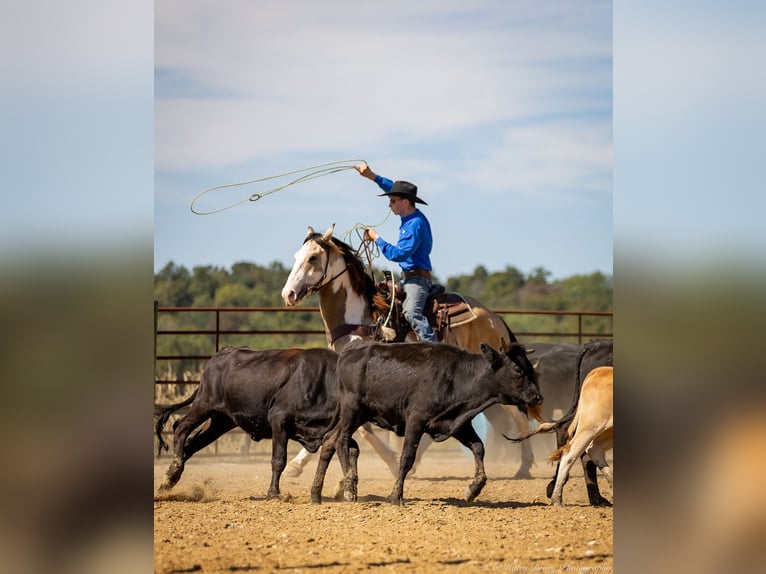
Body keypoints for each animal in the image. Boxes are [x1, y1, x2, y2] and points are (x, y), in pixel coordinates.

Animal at [154, 346, 338, 500]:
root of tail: (221, 354)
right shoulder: (279, 419)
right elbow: (279, 459)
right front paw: (274, 493)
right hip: (204, 404)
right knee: (181, 428)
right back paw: (173, 472)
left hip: (222, 420)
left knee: (192, 443)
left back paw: (168, 481)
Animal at [280, 225, 540, 482]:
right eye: (296, 256)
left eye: (313, 258)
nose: (288, 294)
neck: (359, 321)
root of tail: (494, 318)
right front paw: (296, 464)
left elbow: (363, 428)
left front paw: (391, 461)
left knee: (519, 416)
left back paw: (524, 466)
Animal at [308, 342, 544, 508]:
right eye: (517, 370)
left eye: (530, 369)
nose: (537, 397)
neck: (458, 376)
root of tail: (348, 353)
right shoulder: (416, 420)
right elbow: (407, 458)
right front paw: (396, 496)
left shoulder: (458, 424)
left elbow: (479, 447)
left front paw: (474, 489)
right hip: (352, 409)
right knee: (341, 440)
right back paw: (349, 487)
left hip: (361, 414)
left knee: (329, 441)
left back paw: (316, 494)